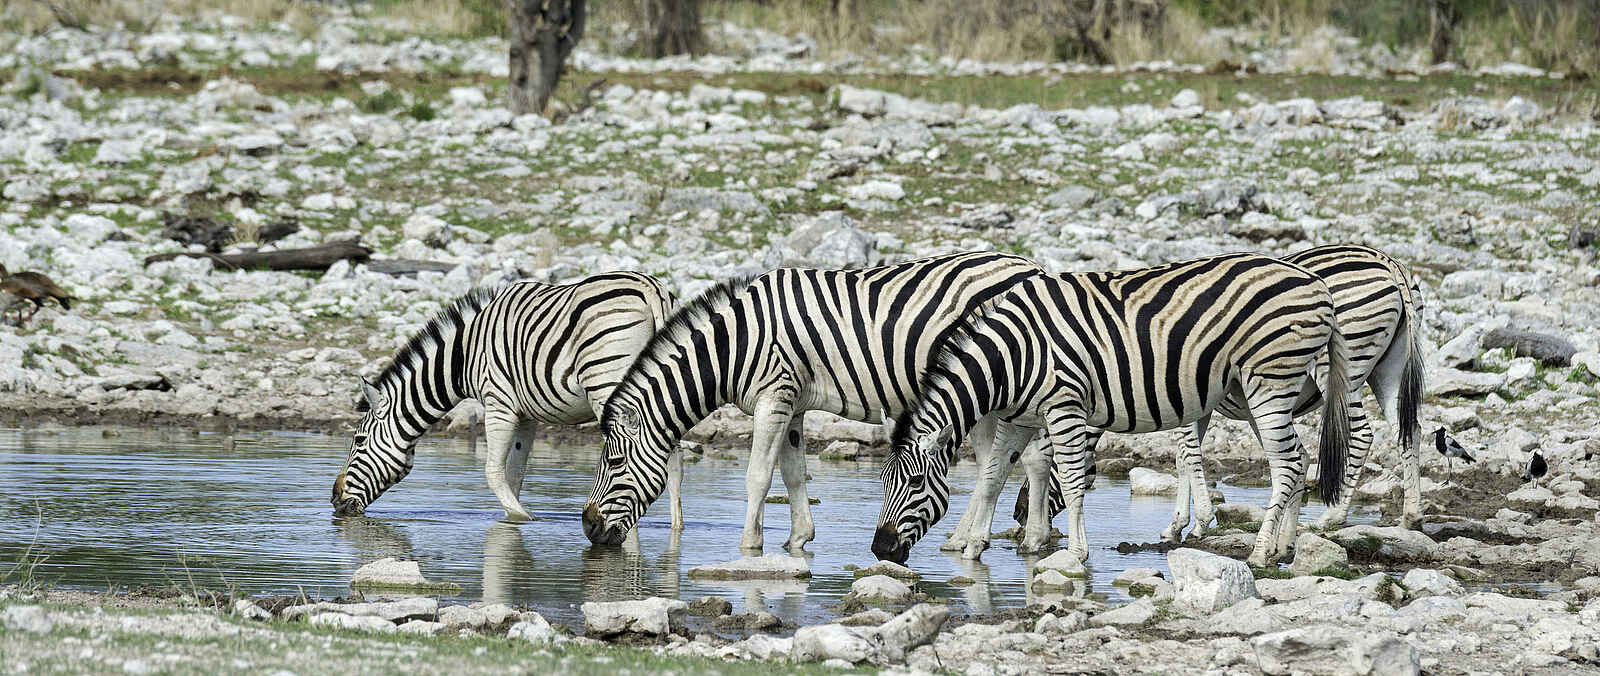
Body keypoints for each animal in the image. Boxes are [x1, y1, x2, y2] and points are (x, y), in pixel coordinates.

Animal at [330, 271, 685, 536]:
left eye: (358, 440)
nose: (334, 500)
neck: (463, 356)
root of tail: (651, 290)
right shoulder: (527, 414)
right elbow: (514, 475)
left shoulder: (498, 402)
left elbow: (493, 472)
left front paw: (523, 519)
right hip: (664, 389)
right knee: (672, 464)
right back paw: (676, 529)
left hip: (610, 385)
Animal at [580, 252, 1044, 553]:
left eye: (614, 462)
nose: (587, 527)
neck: (735, 345)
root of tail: (1030, 267)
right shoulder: (794, 404)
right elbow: (793, 473)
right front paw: (798, 539)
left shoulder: (774, 395)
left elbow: (758, 475)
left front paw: (749, 545)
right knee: (1024, 460)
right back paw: (1025, 540)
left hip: (988, 389)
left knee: (1000, 465)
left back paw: (980, 539)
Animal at [873, 252, 1352, 568]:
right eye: (883, 483)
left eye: (915, 483)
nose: (880, 550)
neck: (1012, 358)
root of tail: (1316, 283)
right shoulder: (1017, 418)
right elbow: (991, 477)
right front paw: (973, 547)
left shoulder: (1063, 405)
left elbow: (1070, 482)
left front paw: (1075, 553)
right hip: (1258, 389)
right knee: (1298, 459)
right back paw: (1284, 548)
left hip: (1269, 380)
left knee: (1287, 464)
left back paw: (1259, 552)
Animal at [1007, 245, 1427, 540]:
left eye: (1044, 469)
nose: (1018, 515)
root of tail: (1386, 261)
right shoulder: (1193, 400)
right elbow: (1182, 460)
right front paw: (1178, 523)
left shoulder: (1182, 397)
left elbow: (1188, 456)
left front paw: (1197, 522)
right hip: (1387, 370)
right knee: (1408, 430)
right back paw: (1410, 516)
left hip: (1341, 369)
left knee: (1362, 433)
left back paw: (1333, 515)